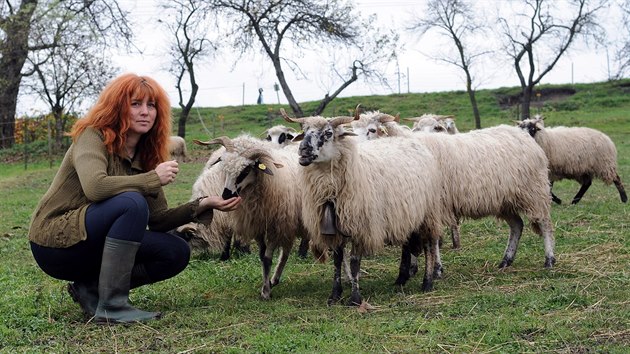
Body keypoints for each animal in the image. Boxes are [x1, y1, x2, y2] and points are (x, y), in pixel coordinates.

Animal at [193, 134, 306, 300]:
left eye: (246, 170)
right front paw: (266, 285)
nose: (226, 196)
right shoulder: (259, 226)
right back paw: (275, 279)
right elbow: (262, 256)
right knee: (286, 251)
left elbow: (267, 259)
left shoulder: (274, 227)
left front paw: (265, 292)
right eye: (224, 165)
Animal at [284, 109, 446, 306]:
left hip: (428, 212)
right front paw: (335, 295)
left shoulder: (360, 226)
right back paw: (401, 279)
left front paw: (355, 298)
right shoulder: (336, 228)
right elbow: (337, 261)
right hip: (407, 213)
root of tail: (412, 141)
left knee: (429, 245)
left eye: (328, 133)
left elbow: (354, 262)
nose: (303, 150)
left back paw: (427, 282)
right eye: (305, 131)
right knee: (409, 243)